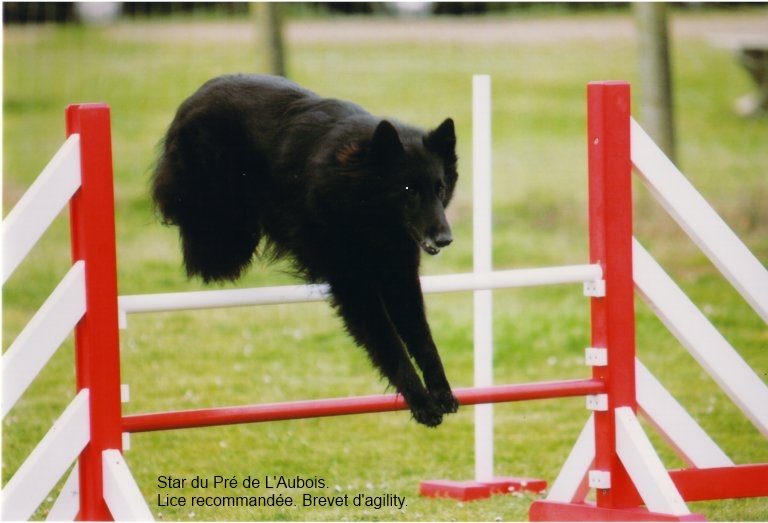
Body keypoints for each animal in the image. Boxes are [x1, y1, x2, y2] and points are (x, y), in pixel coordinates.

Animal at [153, 72, 460, 426]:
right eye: (409, 190)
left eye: (440, 189)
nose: (445, 238)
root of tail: (199, 93)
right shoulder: (355, 287)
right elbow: (391, 344)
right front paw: (420, 400)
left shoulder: (400, 277)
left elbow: (423, 340)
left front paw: (441, 390)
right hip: (218, 219)